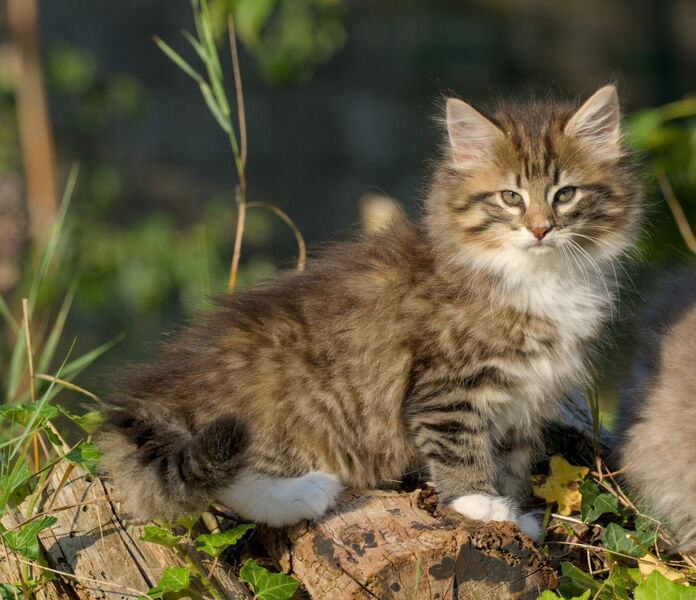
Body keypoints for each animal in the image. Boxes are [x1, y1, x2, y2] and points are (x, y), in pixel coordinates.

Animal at [99, 85, 640, 540]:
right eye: (511, 197)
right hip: (276, 412)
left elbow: (511, 463)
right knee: (224, 477)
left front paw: (514, 516)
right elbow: (460, 449)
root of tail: (159, 389)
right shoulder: (447, 388)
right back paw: (303, 494)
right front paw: (479, 504)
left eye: (565, 194)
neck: (536, 277)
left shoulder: (526, 399)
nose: (540, 229)